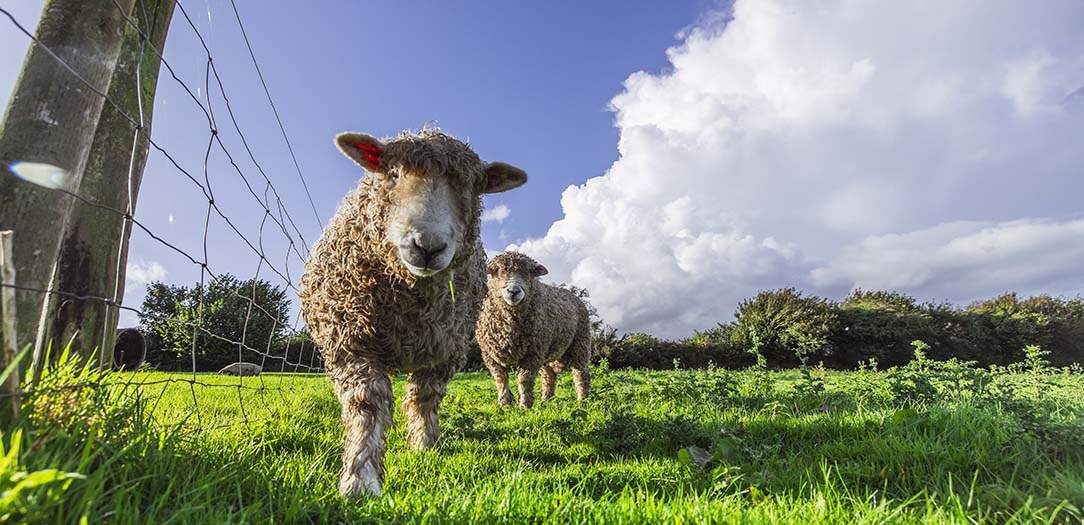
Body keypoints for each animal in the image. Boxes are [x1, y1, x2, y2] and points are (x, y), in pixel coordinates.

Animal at [298, 129, 527, 498]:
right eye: (392, 173)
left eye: (471, 187)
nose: (428, 246)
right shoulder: (350, 340)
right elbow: (368, 401)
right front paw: (360, 477)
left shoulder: (445, 348)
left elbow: (424, 397)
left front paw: (423, 445)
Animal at [475, 252, 591, 408]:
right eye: (495, 270)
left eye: (530, 272)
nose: (513, 291)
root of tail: (573, 295)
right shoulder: (490, 355)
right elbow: (501, 379)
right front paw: (505, 404)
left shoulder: (532, 354)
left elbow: (525, 380)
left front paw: (524, 405)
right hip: (546, 350)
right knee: (549, 375)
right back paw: (547, 400)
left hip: (580, 342)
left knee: (581, 372)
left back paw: (583, 400)